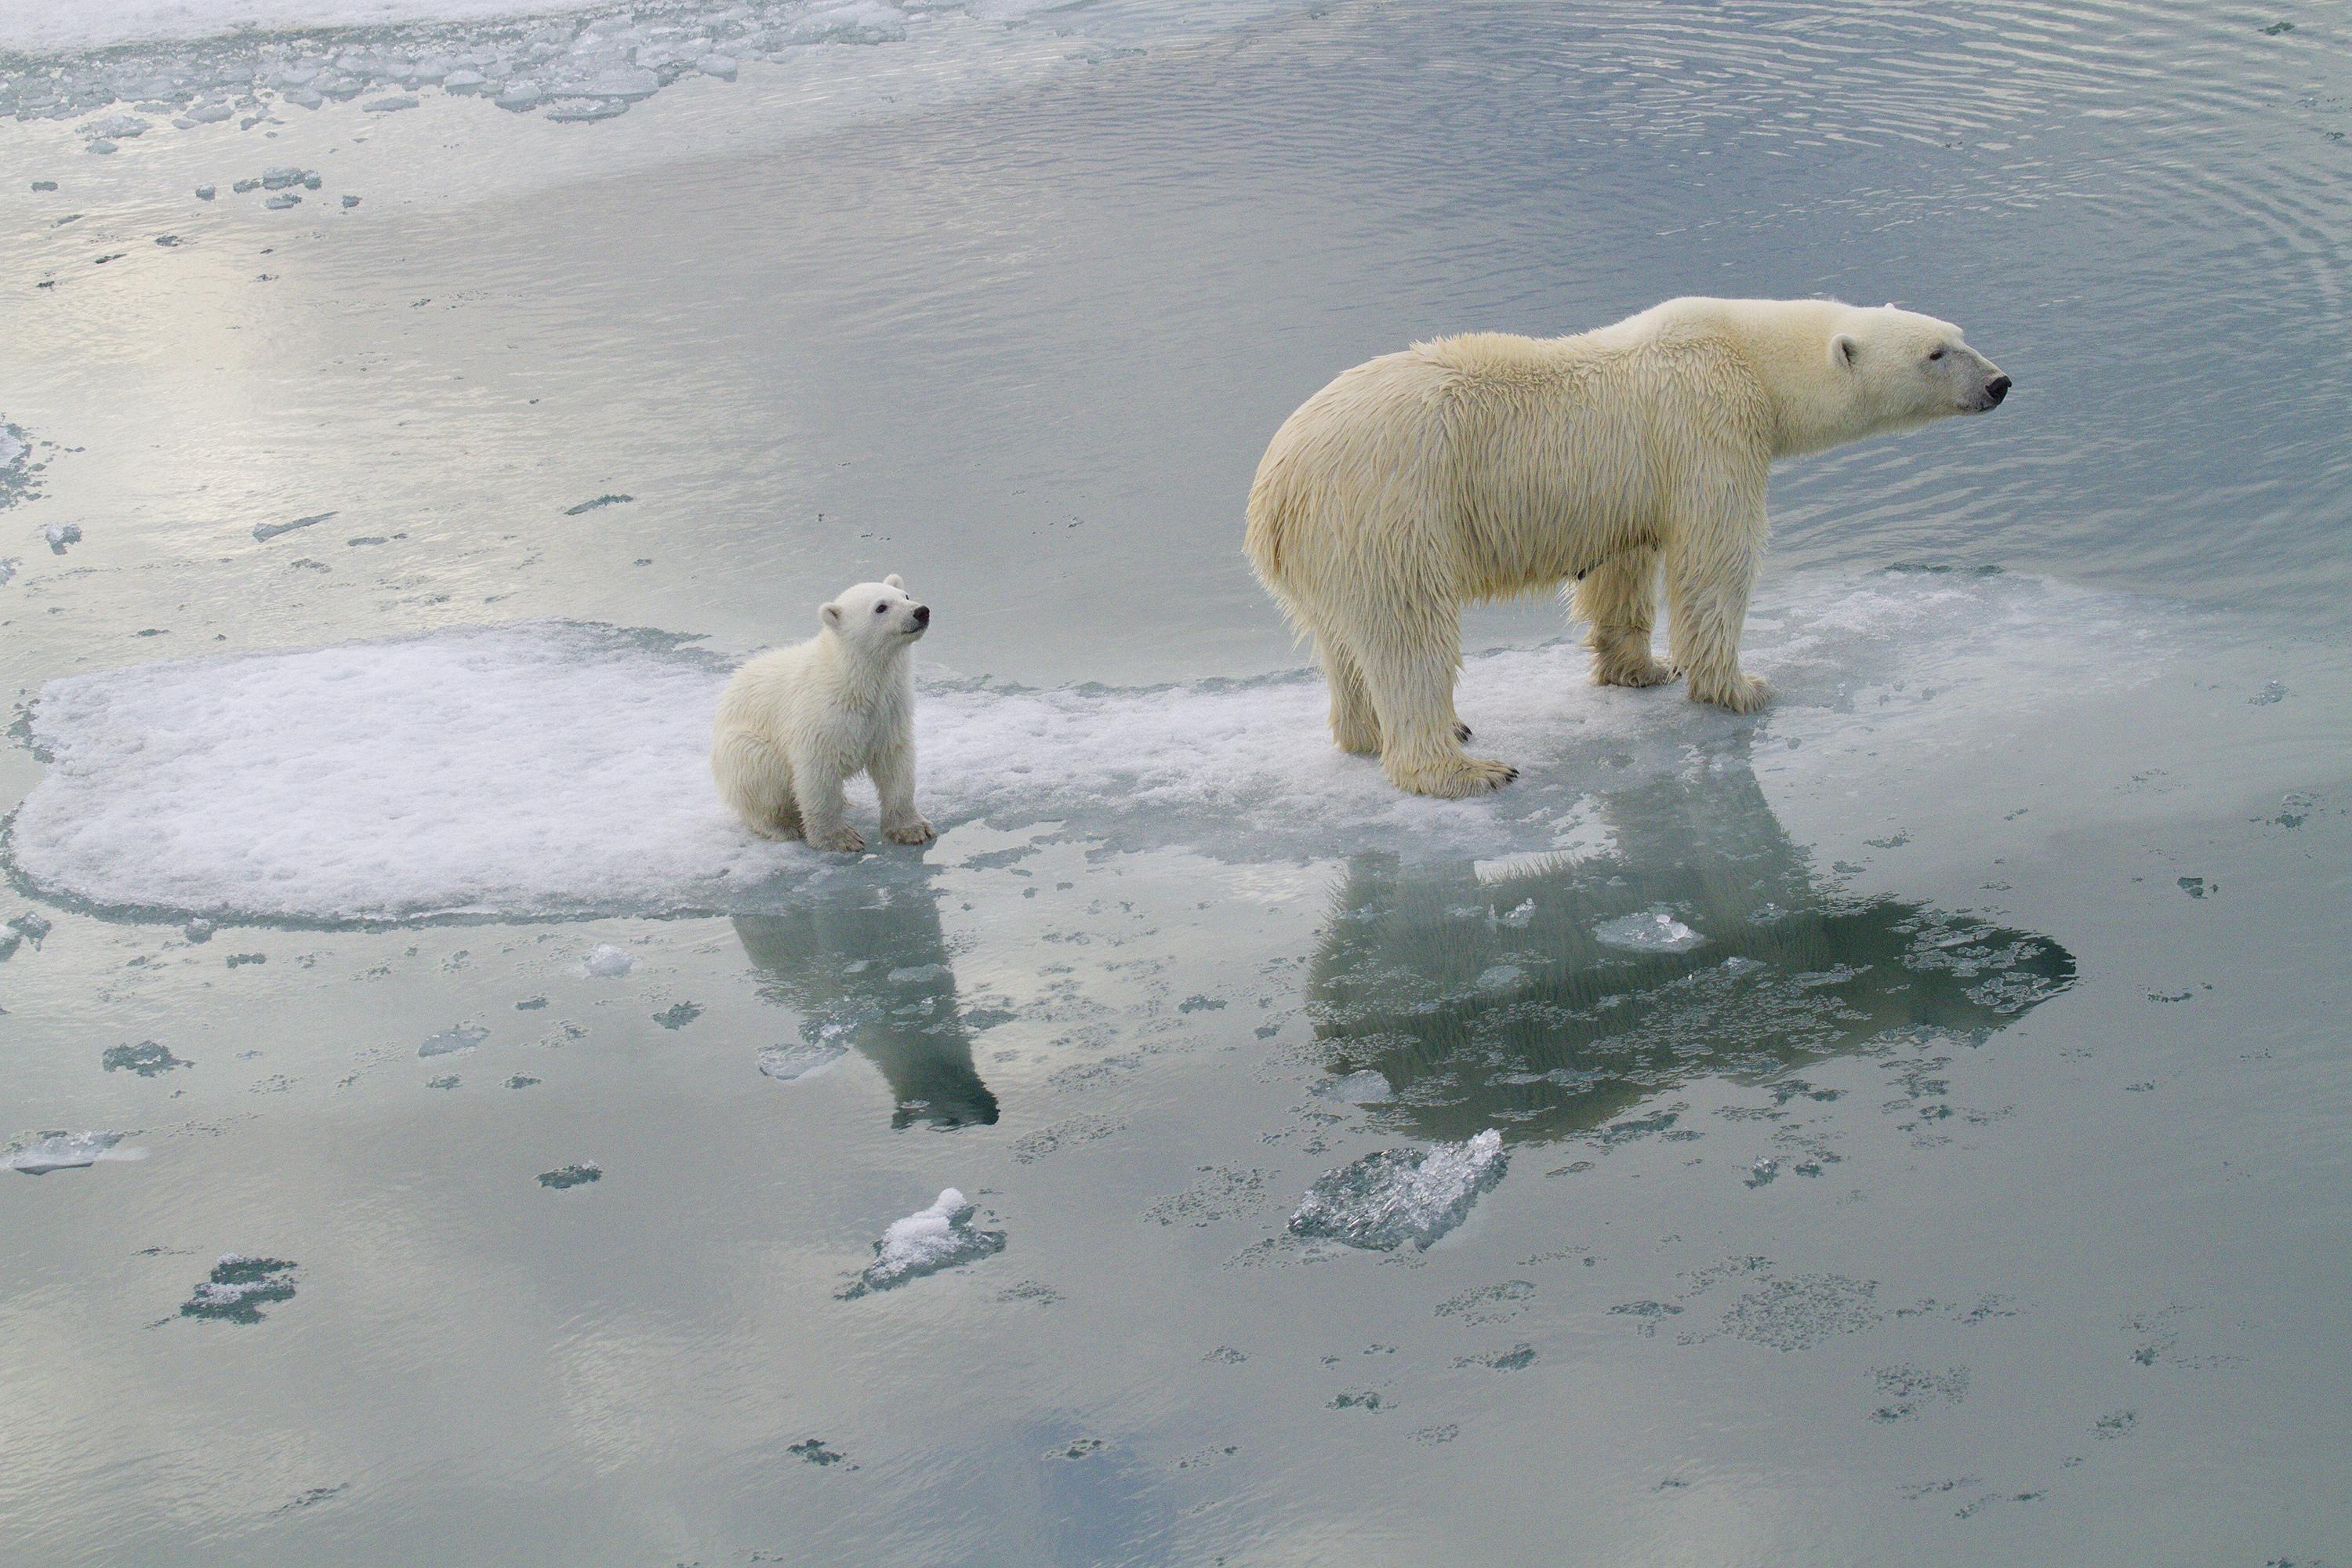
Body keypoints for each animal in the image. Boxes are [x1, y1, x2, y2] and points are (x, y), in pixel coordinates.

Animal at [1242, 297, 2013, 799]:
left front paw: (1642, 670)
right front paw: (1740, 686)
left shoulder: (1629, 486)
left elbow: (1623, 567)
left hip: (1328, 549)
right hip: (1388, 512)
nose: (2001, 382)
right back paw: (1465, 766)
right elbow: (1715, 559)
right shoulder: (1708, 426)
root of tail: (1275, 488)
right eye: (1936, 353)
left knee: (1343, 642)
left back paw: (1367, 733)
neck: (1747, 352)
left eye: (1958, 333)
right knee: (1409, 635)